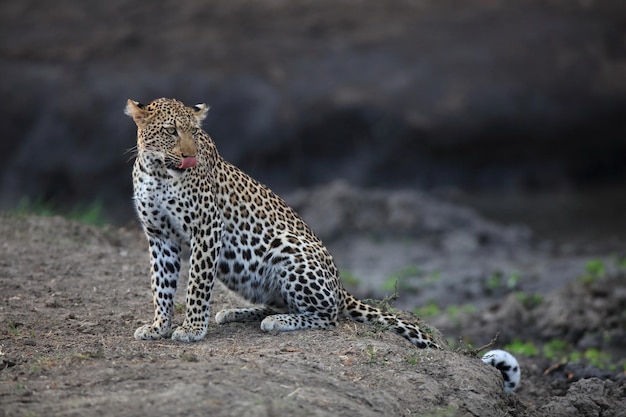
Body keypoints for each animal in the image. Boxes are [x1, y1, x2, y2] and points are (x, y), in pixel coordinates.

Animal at [124, 96, 442, 348]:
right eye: (171, 131)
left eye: (194, 131)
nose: (189, 156)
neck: (157, 172)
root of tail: (340, 287)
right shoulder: (159, 235)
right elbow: (161, 284)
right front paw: (159, 326)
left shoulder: (207, 228)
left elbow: (197, 284)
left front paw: (191, 328)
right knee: (281, 304)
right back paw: (237, 314)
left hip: (287, 246)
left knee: (329, 316)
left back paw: (279, 322)